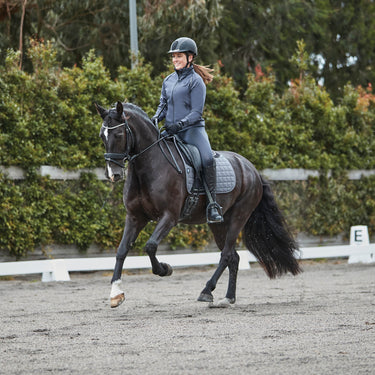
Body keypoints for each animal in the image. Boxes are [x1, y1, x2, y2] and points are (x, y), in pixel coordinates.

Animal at [97, 100, 302, 308]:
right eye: (102, 136)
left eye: (119, 134)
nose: (113, 174)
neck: (149, 167)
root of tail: (251, 168)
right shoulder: (135, 217)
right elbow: (121, 250)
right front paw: (116, 294)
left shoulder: (169, 217)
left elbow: (150, 246)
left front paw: (165, 269)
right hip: (218, 224)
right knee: (233, 257)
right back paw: (228, 298)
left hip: (239, 217)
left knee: (226, 255)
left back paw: (207, 291)